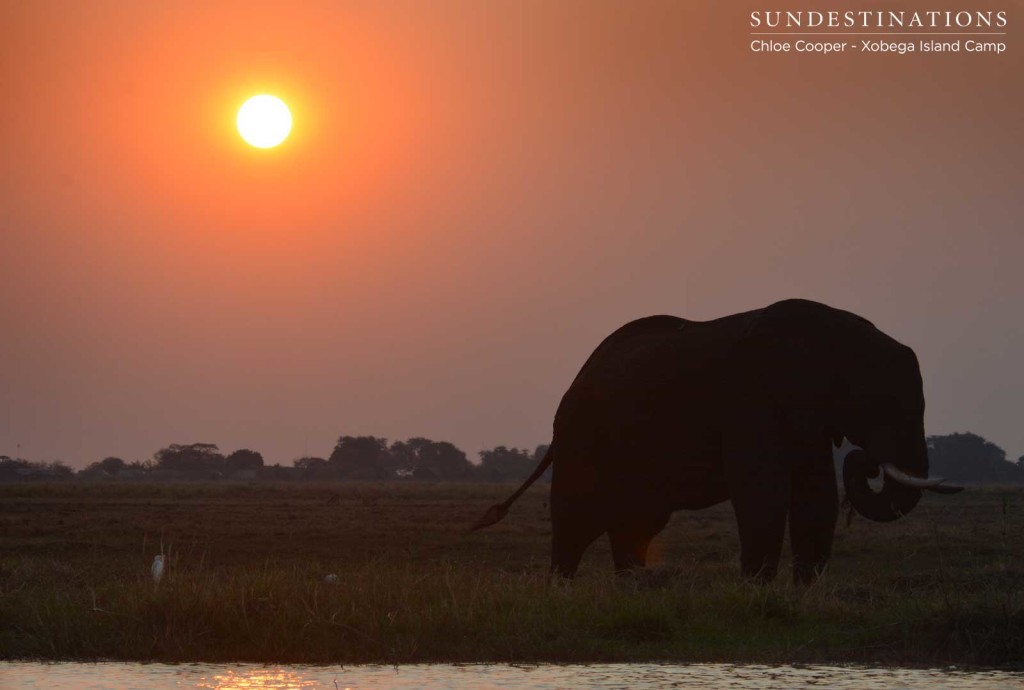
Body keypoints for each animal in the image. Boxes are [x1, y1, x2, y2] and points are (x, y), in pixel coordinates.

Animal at [475, 298, 962, 581]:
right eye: (883, 405)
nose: (868, 459)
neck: (837, 333)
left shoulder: (803, 416)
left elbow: (816, 493)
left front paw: (806, 590)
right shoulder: (751, 400)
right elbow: (762, 492)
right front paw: (758, 589)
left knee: (636, 521)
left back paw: (632, 584)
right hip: (581, 432)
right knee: (578, 515)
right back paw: (564, 585)